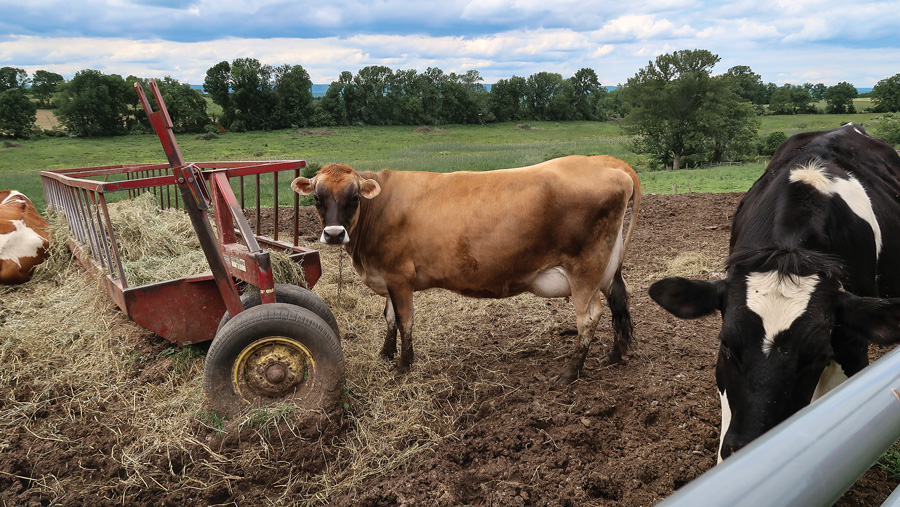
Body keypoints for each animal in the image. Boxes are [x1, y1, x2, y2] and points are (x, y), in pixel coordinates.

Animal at [294, 157, 640, 382]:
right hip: (607, 266)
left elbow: (405, 320)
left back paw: (571, 371)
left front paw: (404, 366)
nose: (334, 234)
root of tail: (607, 163)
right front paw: (385, 353)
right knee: (618, 300)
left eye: (353, 197)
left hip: (585, 268)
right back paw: (616, 354)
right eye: (317, 198)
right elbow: (389, 317)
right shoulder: (388, 278)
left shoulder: (399, 276)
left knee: (589, 316)